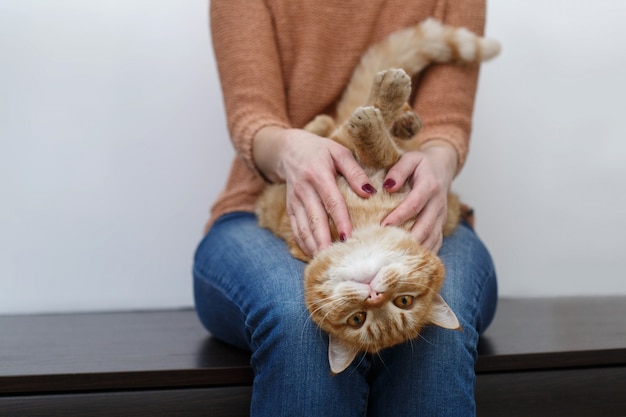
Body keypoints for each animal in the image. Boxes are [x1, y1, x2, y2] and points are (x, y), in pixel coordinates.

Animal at [254, 17, 498, 372]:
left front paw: (381, 108)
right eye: (358, 319)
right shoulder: (346, 155)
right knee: (326, 125)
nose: (374, 294)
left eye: (403, 301)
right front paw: (384, 103)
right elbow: (373, 143)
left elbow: (376, 146)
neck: (363, 228)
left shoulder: (391, 167)